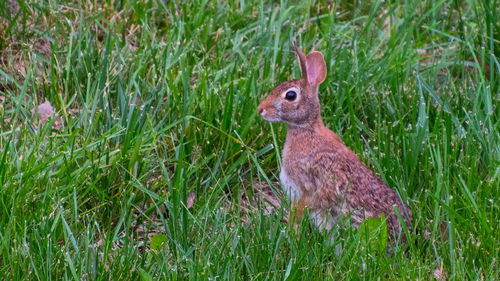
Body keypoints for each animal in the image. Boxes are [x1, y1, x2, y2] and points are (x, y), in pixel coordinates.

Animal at [256, 40, 412, 238]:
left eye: (290, 95)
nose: (261, 109)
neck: (307, 128)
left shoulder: (306, 187)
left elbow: (300, 208)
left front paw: (291, 232)